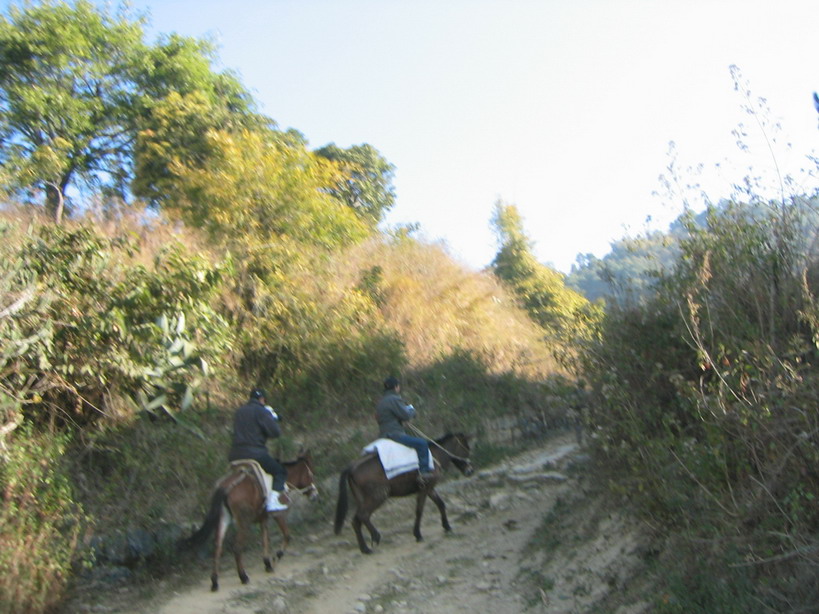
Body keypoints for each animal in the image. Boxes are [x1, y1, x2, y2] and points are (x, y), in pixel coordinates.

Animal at [181, 452, 318, 592]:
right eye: (311, 474)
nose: (315, 494)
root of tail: (226, 487)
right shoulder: (278, 515)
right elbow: (287, 535)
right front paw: (276, 557)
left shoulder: (263, 518)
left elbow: (265, 539)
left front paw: (267, 563)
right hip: (243, 523)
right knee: (237, 548)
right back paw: (243, 577)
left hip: (223, 520)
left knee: (217, 547)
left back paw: (214, 582)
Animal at [334, 434, 474, 560]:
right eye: (466, 448)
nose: (470, 471)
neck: (434, 457)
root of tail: (352, 467)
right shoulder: (424, 489)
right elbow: (419, 510)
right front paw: (418, 535)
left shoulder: (429, 489)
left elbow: (440, 504)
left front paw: (447, 526)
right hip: (378, 496)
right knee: (363, 515)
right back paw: (375, 536)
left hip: (363, 499)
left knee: (356, 521)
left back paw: (365, 549)